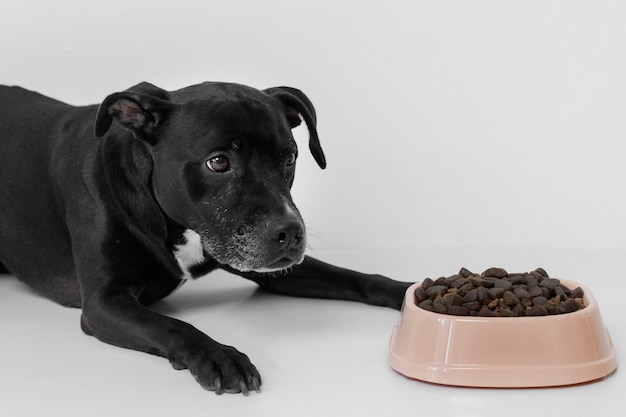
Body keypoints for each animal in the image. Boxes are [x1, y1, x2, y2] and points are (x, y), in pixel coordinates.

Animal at [0, 81, 412, 394]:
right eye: (218, 162)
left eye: (290, 157)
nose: (290, 232)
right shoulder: (103, 302)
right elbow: (171, 325)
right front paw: (219, 355)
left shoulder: (271, 269)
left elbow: (356, 278)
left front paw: (407, 291)